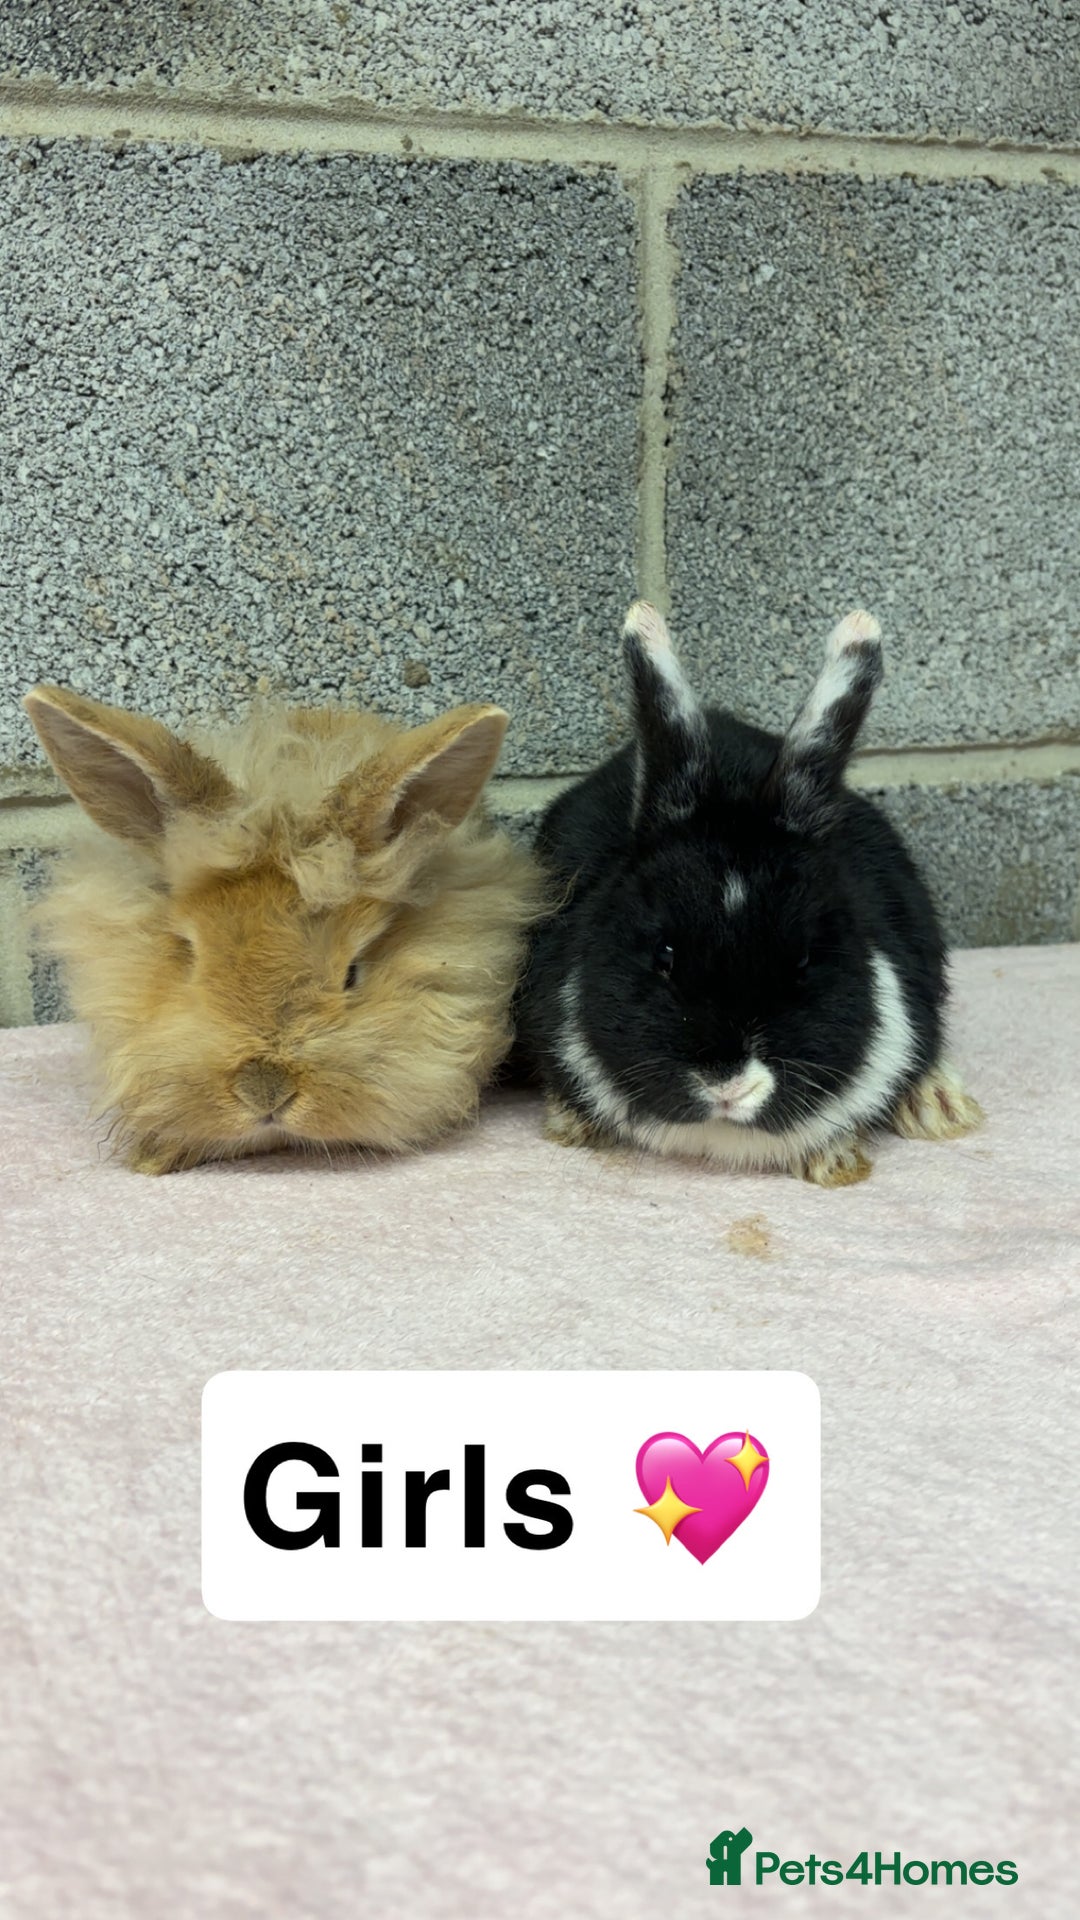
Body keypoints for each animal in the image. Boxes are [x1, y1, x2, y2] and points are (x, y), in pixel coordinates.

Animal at [514, 601, 983, 1187]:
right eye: (664, 955)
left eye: (803, 961)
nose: (728, 1085)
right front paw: (570, 1123)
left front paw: (833, 1158)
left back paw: (940, 1106)